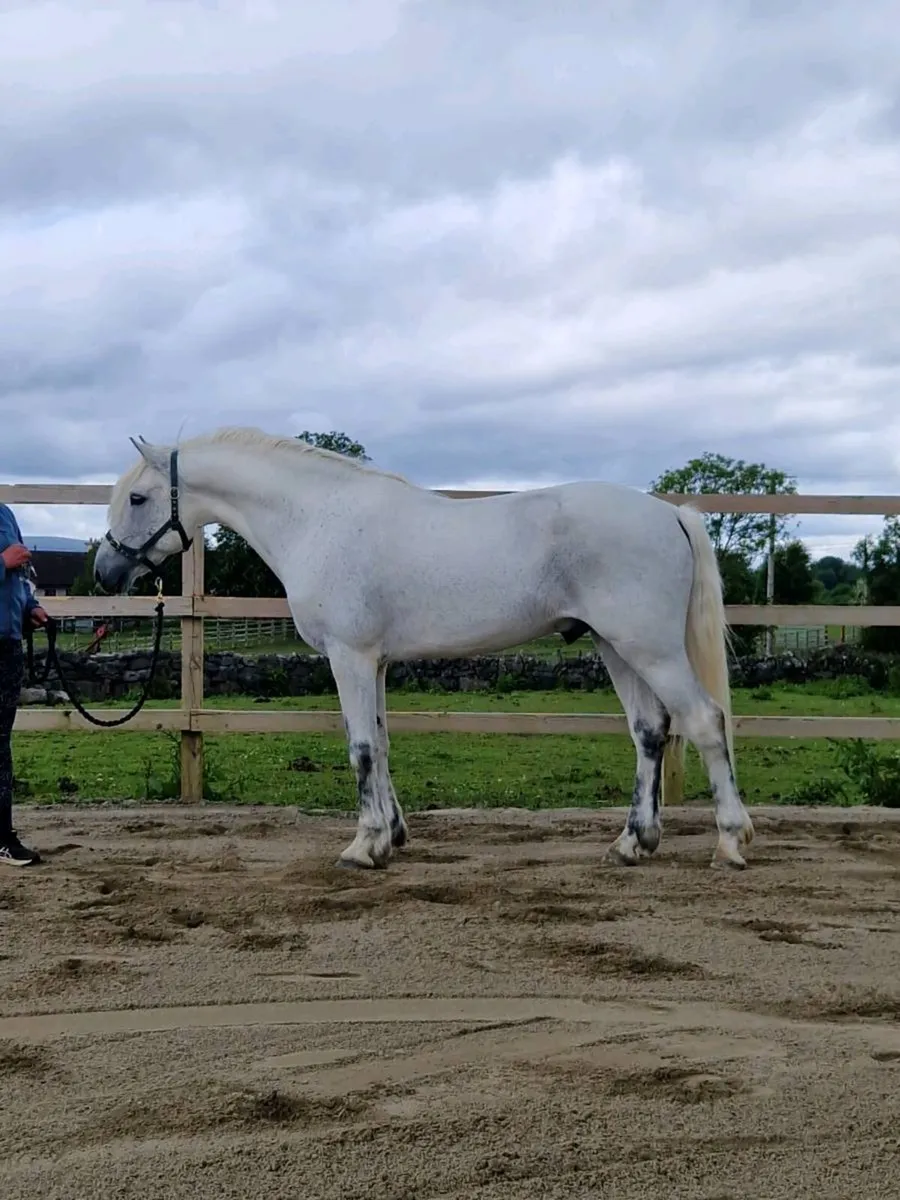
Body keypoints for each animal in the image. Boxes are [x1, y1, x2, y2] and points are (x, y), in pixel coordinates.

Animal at [93, 427, 754, 871]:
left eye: (137, 499)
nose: (103, 572)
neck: (316, 518)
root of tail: (670, 514)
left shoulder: (350, 656)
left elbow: (361, 749)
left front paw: (363, 847)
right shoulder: (377, 663)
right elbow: (382, 745)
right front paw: (393, 835)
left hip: (649, 647)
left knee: (703, 721)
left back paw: (729, 841)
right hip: (617, 647)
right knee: (650, 731)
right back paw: (632, 842)